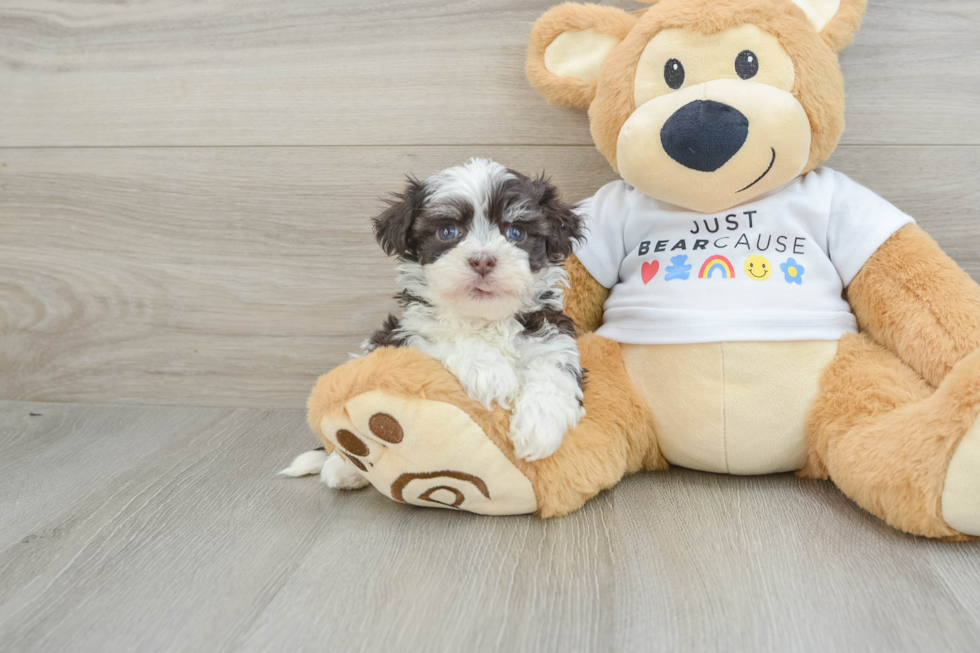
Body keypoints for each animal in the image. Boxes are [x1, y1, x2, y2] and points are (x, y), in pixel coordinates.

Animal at [284, 159, 588, 488]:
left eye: (516, 232)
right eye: (448, 231)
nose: (483, 260)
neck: (485, 319)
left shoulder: (553, 336)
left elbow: (554, 373)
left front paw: (540, 426)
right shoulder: (405, 336)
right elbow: (447, 334)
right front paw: (489, 372)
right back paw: (342, 468)